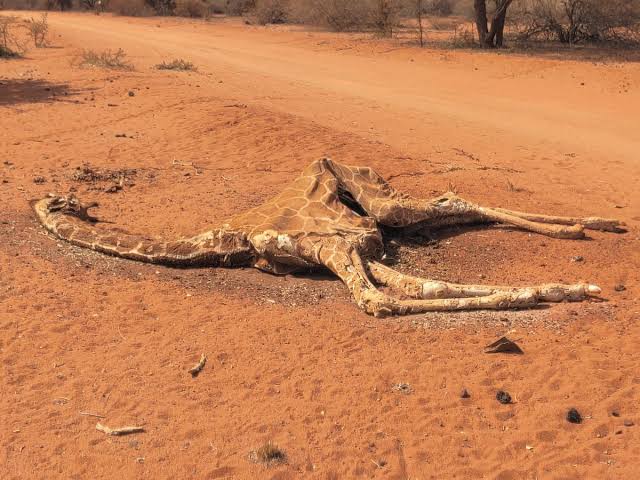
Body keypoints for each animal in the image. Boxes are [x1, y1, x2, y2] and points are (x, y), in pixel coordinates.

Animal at [33, 158, 624, 317]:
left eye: (62, 200)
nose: (79, 203)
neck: (222, 241)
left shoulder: (335, 247)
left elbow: (381, 302)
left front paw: (562, 291)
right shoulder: (350, 250)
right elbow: (407, 290)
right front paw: (554, 290)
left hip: (380, 203)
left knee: (440, 202)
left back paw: (597, 227)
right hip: (388, 221)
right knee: (449, 204)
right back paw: (589, 229)